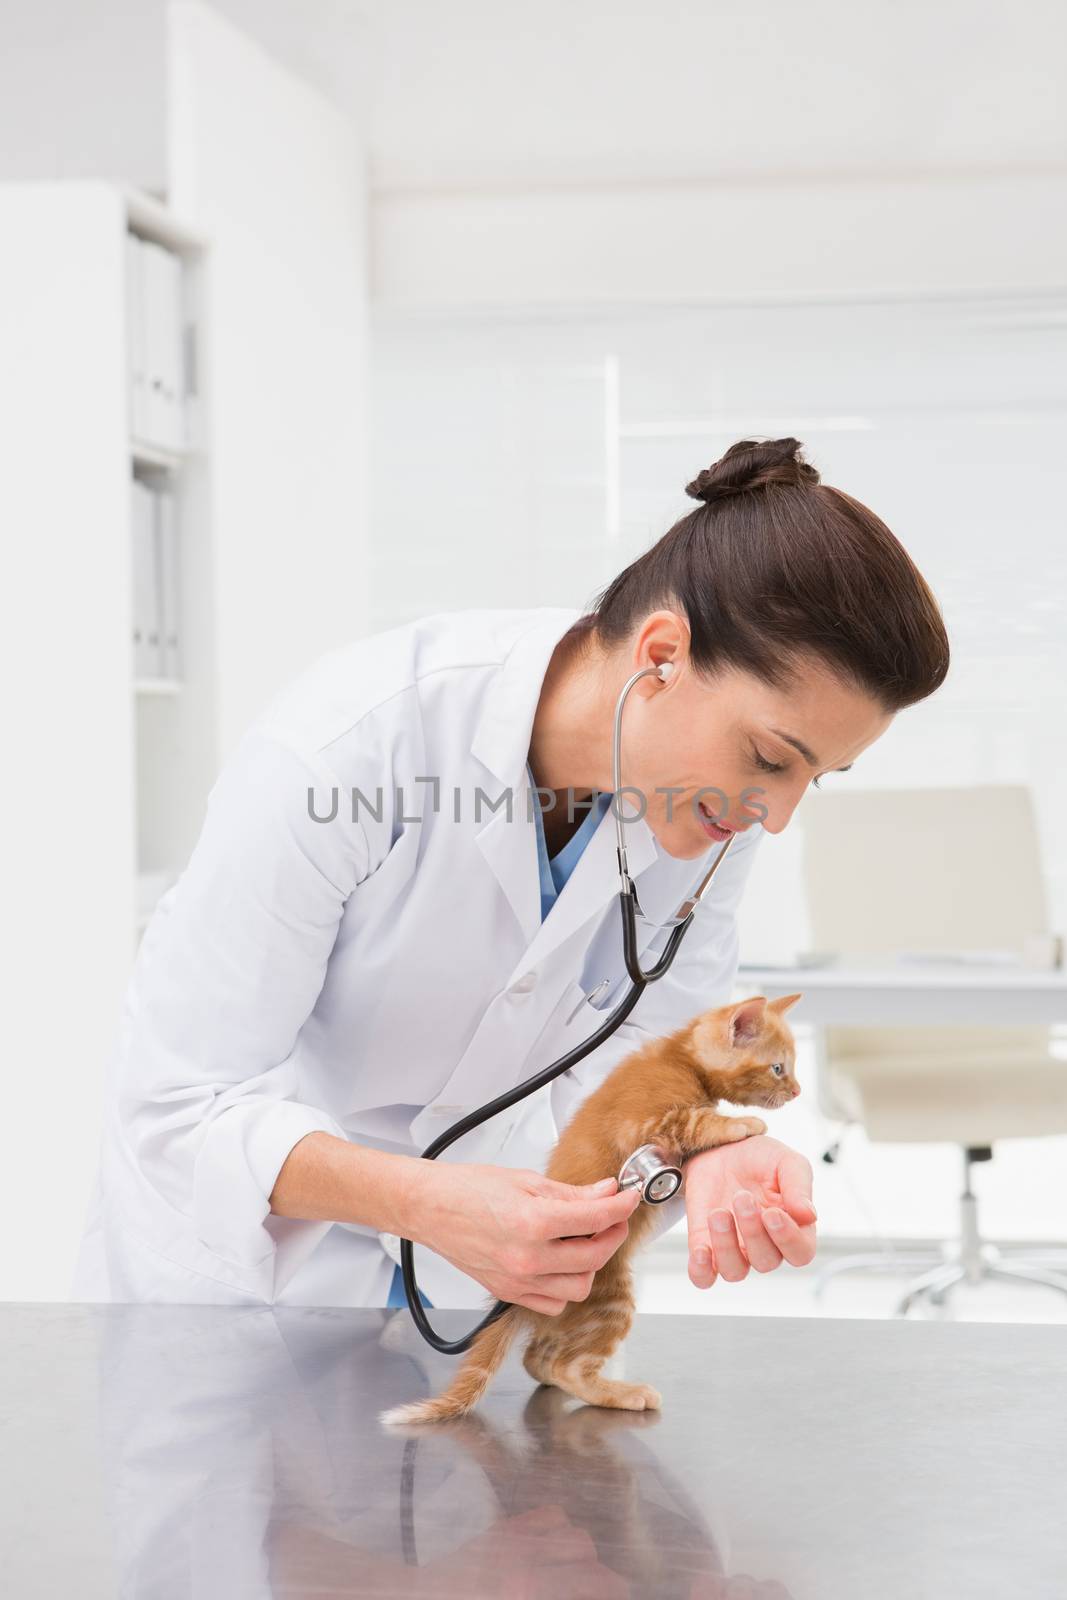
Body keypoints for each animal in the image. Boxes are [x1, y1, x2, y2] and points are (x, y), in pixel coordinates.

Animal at [382, 985, 799, 1427]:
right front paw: (743, 1124)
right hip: (605, 1297)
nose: (798, 1092)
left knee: (538, 1359)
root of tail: (514, 1302)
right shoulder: (645, 1124)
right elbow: (698, 1122)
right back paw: (624, 1393)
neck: (679, 1056)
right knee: (567, 1366)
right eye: (778, 1068)